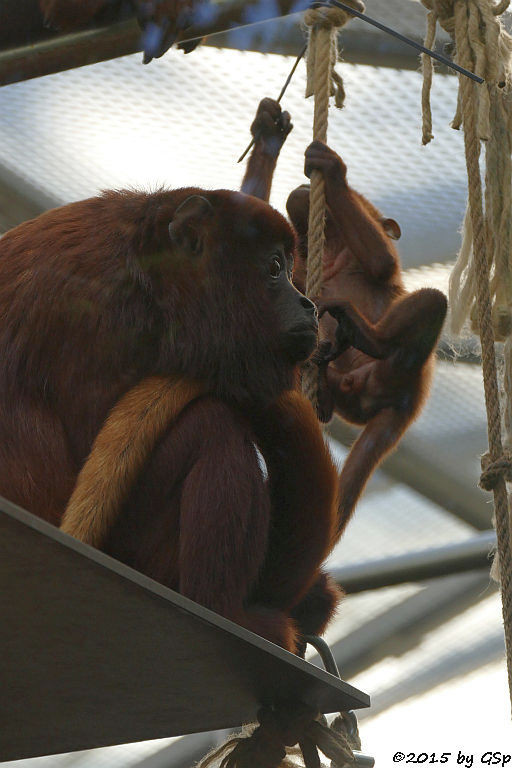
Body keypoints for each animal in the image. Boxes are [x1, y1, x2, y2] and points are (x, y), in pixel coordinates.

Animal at [1, 189, 344, 652]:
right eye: (275, 268)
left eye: (292, 269)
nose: (308, 304)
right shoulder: (102, 312)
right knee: (210, 425)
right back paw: (225, 609)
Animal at [242, 97, 446, 536]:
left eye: (355, 193)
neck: (333, 252)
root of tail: (406, 407)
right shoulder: (295, 271)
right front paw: (268, 134)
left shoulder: (370, 252)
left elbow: (382, 260)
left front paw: (331, 168)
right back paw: (320, 391)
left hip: (393, 373)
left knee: (432, 301)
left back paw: (366, 335)